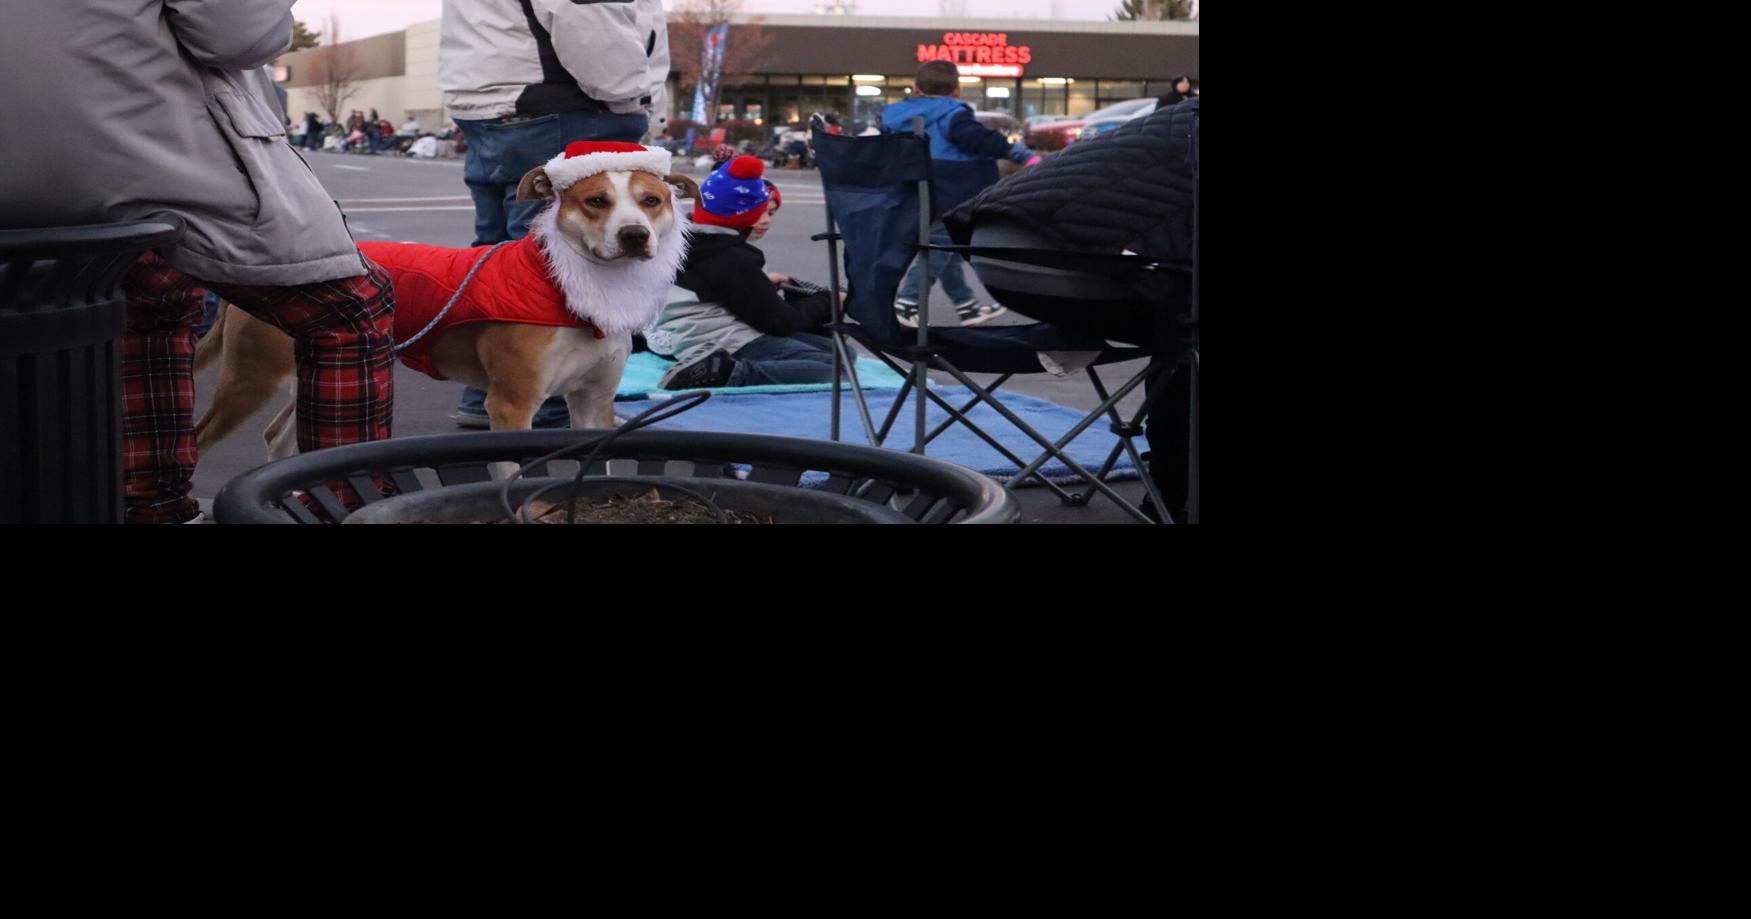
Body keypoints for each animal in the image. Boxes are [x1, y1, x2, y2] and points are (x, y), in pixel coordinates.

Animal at [195, 140, 700, 455]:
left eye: (652, 201)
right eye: (596, 201)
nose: (634, 235)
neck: (564, 285)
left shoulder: (593, 402)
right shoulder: (510, 406)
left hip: (325, 367)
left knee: (279, 436)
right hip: (252, 377)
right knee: (199, 441)